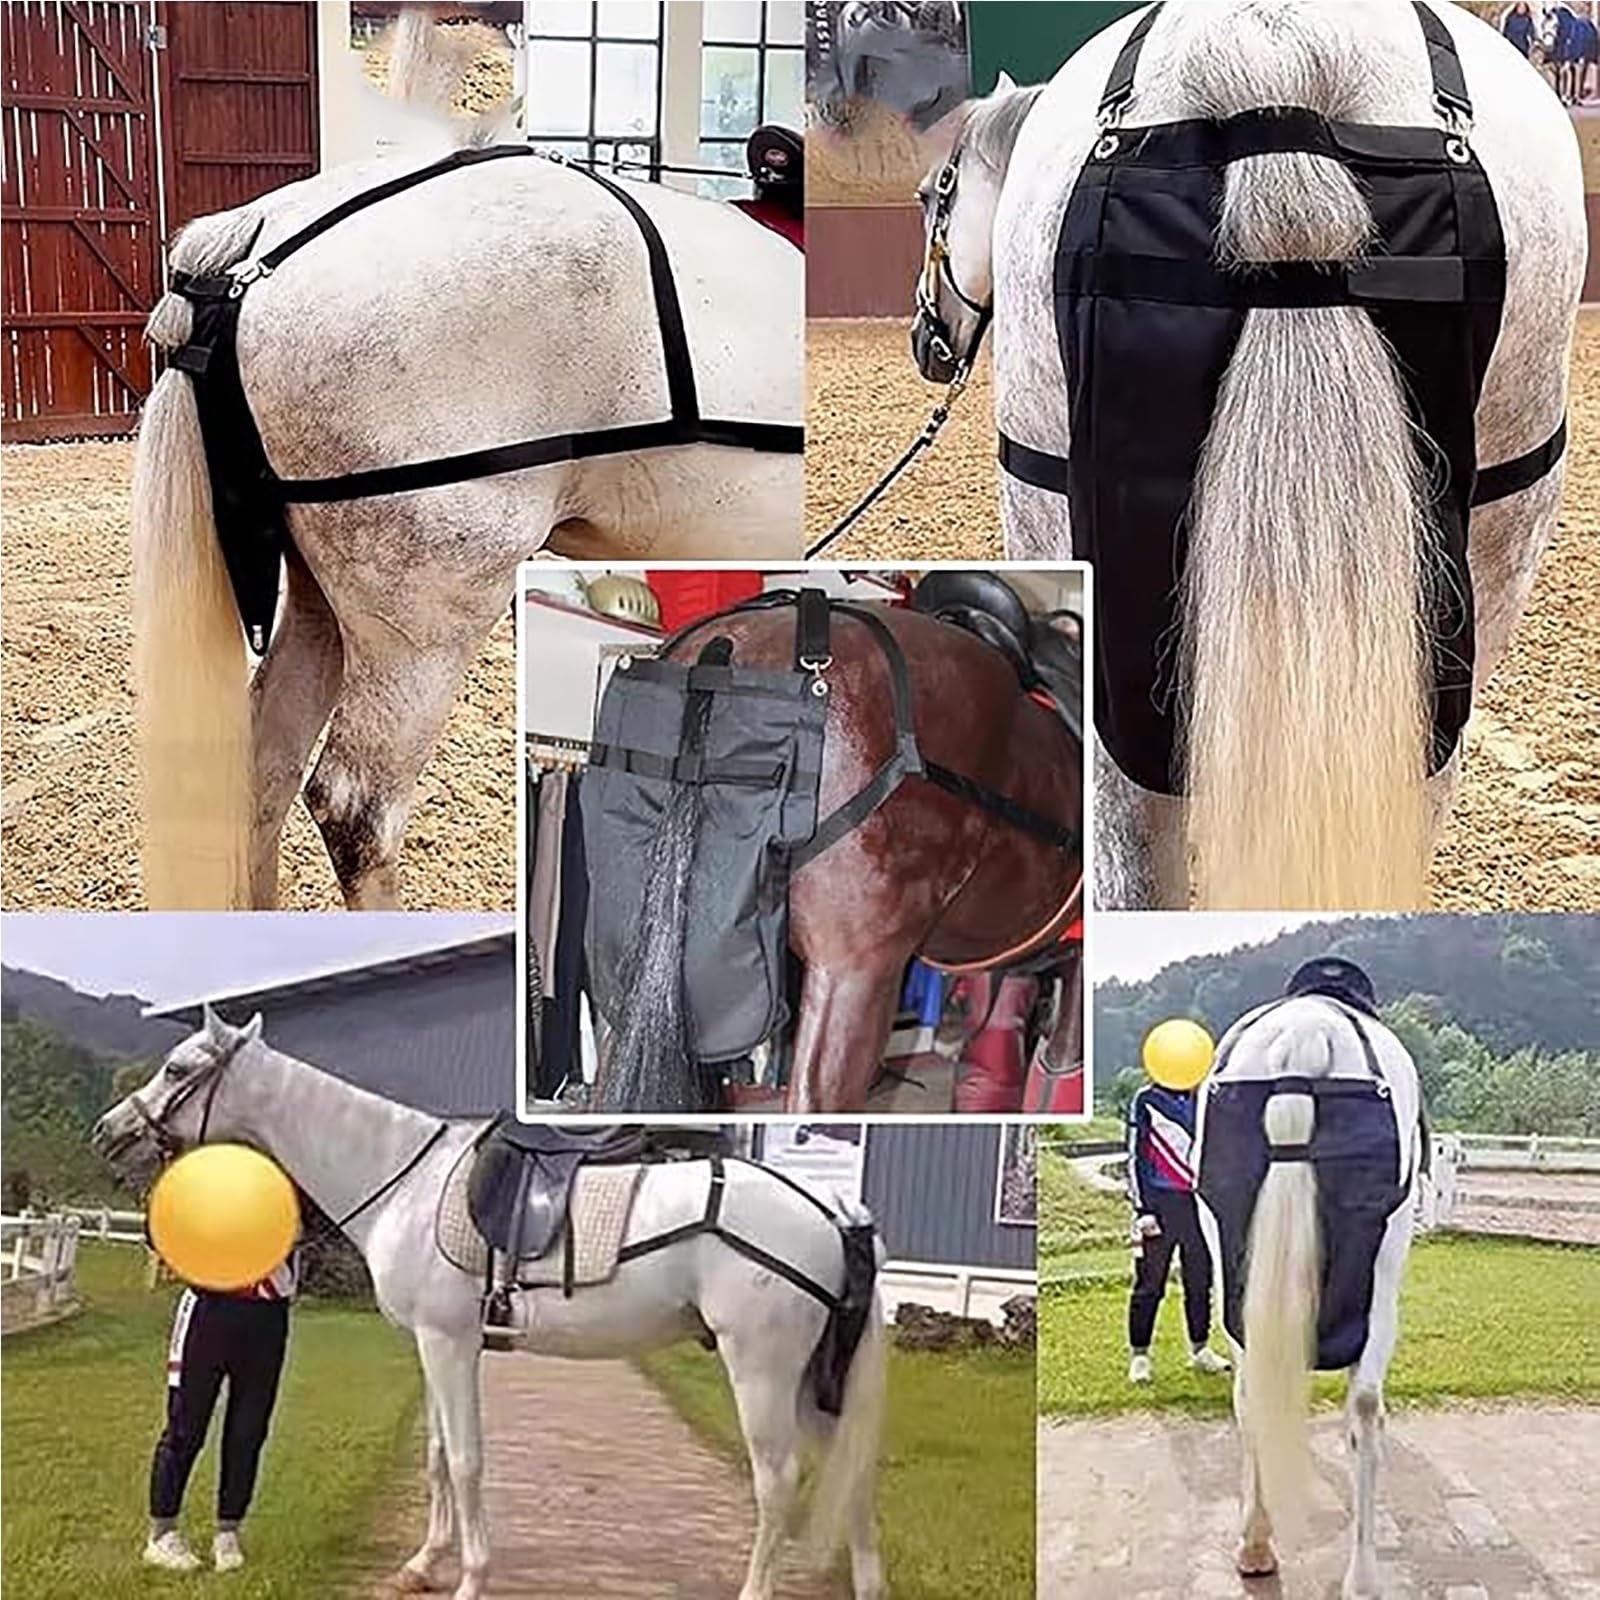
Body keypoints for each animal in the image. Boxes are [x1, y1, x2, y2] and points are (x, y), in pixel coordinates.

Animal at [90, 1010, 886, 1600]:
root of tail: (834, 1208)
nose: (109, 1130)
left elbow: (469, 1459)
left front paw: (471, 1577)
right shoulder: (436, 1345)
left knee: (777, 1482)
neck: (406, 1177)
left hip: (763, 1374)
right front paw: (422, 1565)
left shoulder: (448, 1342)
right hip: (815, 1385)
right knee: (853, 1479)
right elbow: (440, 1455)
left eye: (179, 1069)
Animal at [1192, 964, 1424, 1596]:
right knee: (1363, 1412)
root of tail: (1305, 1033)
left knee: (1251, 1400)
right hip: (1380, 1279)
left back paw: (1255, 1545)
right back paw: (1361, 1577)